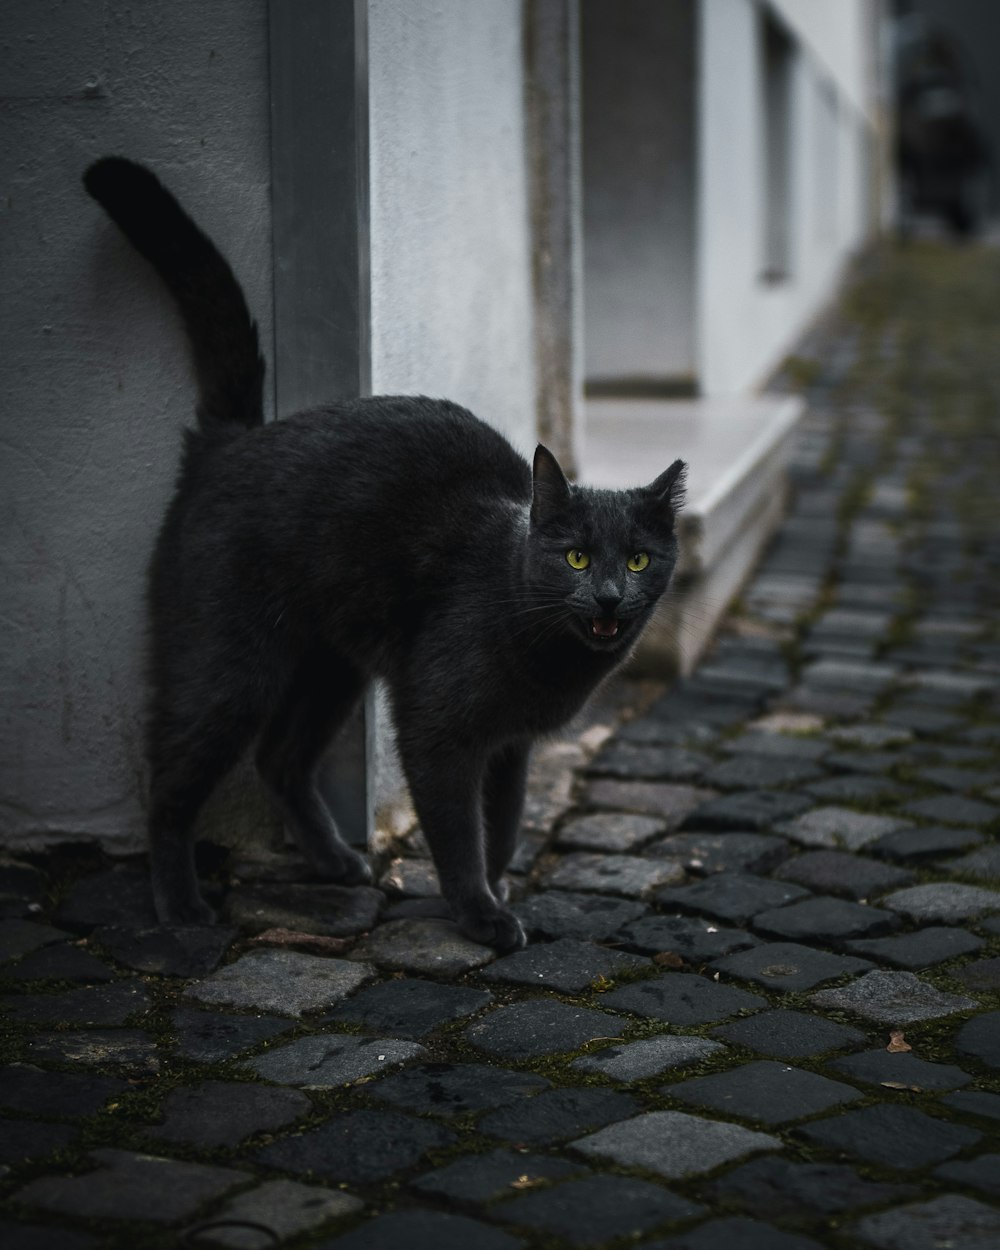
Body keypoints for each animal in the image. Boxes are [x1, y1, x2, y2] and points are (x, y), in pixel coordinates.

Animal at [83, 161, 690, 950]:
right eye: (578, 558)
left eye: (640, 560)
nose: (612, 594)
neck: (545, 657)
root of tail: (231, 441)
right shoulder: (438, 731)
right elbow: (457, 832)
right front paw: (480, 913)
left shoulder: (511, 746)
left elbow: (503, 825)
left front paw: (498, 889)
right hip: (227, 665)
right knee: (170, 781)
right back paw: (180, 905)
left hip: (331, 665)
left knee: (280, 760)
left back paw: (336, 862)